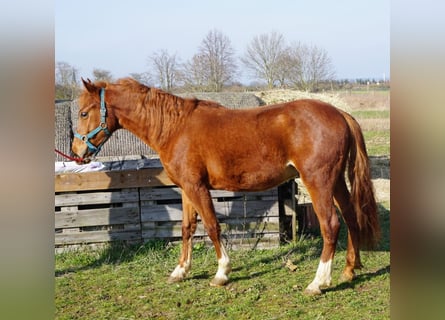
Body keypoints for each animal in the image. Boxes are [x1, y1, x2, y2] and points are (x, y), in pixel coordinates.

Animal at [72, 78, 378, 296]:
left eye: (84, 113)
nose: (77, 151)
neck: (175, 127)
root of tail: (339, 112)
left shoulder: (197, 187)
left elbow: (211, 227)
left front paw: (221, 273)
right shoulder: (186, 189)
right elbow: (187, 228)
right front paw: (181, 271)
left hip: (318, 181)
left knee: (331, 225)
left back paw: (318, 282)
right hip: (335, 181)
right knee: (350, 217)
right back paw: (350, 270)